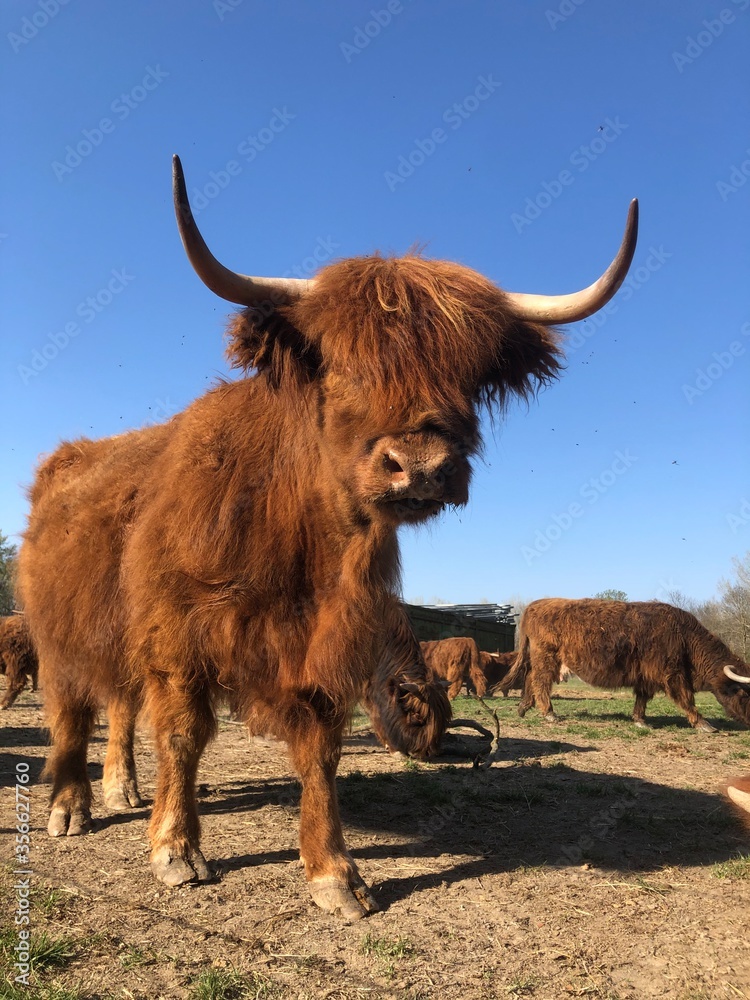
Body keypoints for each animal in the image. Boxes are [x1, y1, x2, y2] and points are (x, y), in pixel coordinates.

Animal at [16, 158, 640, 920]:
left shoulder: (323, 646)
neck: (303, 546)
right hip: (62, 635)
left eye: (466, 375)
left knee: (120, 708)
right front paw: (176, 850)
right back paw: (70, 807)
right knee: (73, 712)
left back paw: (120, 788)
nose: (421, 466)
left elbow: (319, 750)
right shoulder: (177, 637)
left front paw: (334, 873)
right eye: (341, 366)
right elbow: (184, 737)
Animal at [506, 596, 750, 732]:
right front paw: (703, 724)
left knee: (530, 679)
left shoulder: (647, 676)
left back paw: (523, 708)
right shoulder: (671, 674)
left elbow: (642, 698)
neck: (684, 637)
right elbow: (686, 698)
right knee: (540, 682)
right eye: (746, 694)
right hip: (546, 658)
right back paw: (549, 713)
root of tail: (537, 604)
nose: (749, 721)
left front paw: (640, 720)